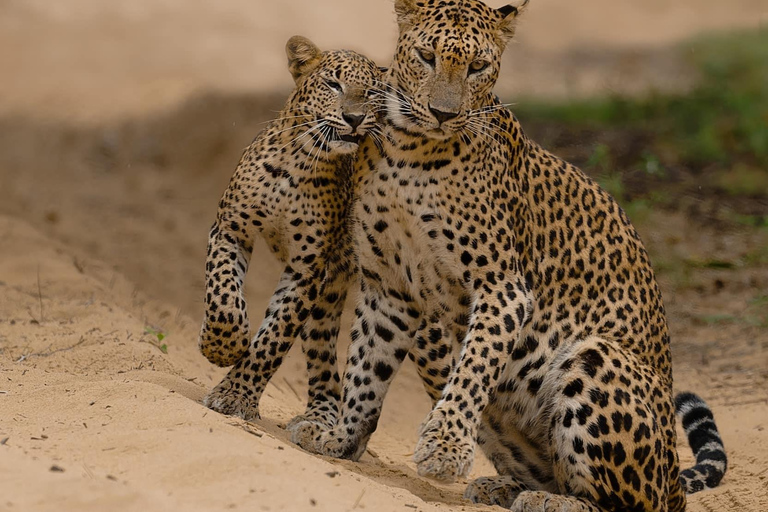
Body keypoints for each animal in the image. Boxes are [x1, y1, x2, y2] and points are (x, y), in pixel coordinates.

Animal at [196, 37, 380, 428]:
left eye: (372, 92)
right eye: (333, 84)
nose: (355, 118)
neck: (299, 163)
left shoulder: (307, 269)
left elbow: (274, 337)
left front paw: (235, 396)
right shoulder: (230, 228)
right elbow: (223, 298)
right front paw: (221, 347)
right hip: (327, 301)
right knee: (325, 361)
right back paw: (319, 421)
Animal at [288, 2, 728, 510]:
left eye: (478, 66)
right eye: (426, 56)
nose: (443, 114)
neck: (410, 152)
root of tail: (674, 479)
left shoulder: (502, 287)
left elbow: (473, 369)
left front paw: (443, 450)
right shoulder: (389, 287)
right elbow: (365, 366)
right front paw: (340, 437)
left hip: (596, 357)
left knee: (627, 501)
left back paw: (552, 501)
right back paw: (505, 486)